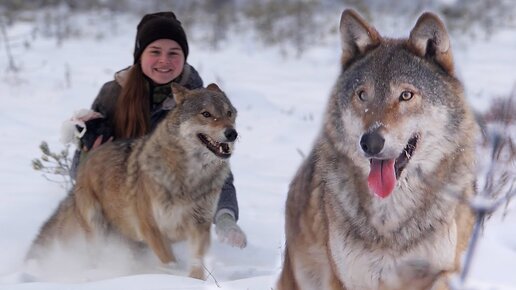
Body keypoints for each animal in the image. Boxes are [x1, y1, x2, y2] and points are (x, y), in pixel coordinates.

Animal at [26, 82, 238, 280]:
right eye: (206, 114)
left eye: (229, 113)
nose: (232, 133)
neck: (191, 178)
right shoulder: (151, 228)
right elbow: (170, 263)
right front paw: (172, 276)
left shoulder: (199, 226)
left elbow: (196, 263)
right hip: (97, 229)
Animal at [276, 9, 478, 290]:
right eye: (362, 95)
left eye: (406, 95)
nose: (370, 143)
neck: (389, 217)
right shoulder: (348, 279)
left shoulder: (440, 274)